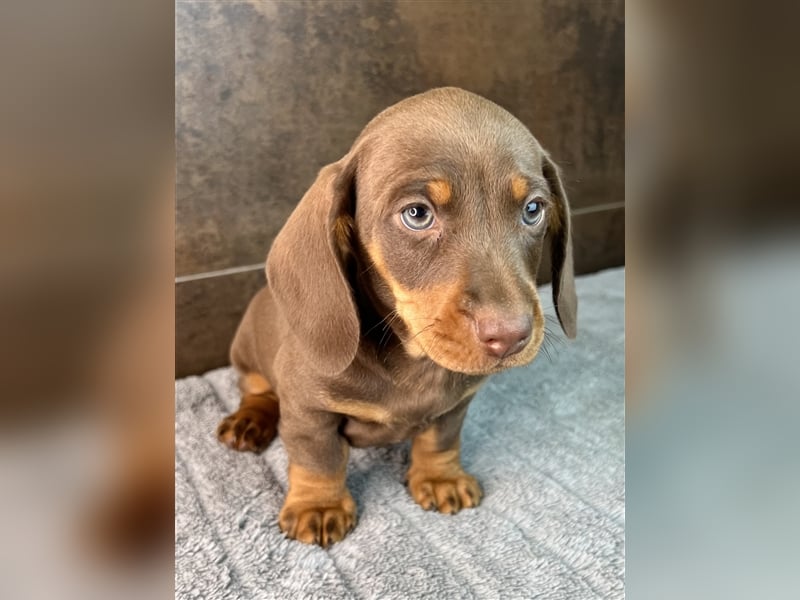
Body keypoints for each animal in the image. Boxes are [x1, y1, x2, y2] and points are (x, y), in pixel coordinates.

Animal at [217, 88, 576, 548]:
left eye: (533, 209)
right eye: (417, 214)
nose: (511, 336)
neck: (412, 356)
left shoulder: (455, 404)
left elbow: (440, 439)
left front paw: (440, 478)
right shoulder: (307, 409)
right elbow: (318, 458)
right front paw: (320, 505)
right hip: (248, 353)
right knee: (256, 389)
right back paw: (249, 421)